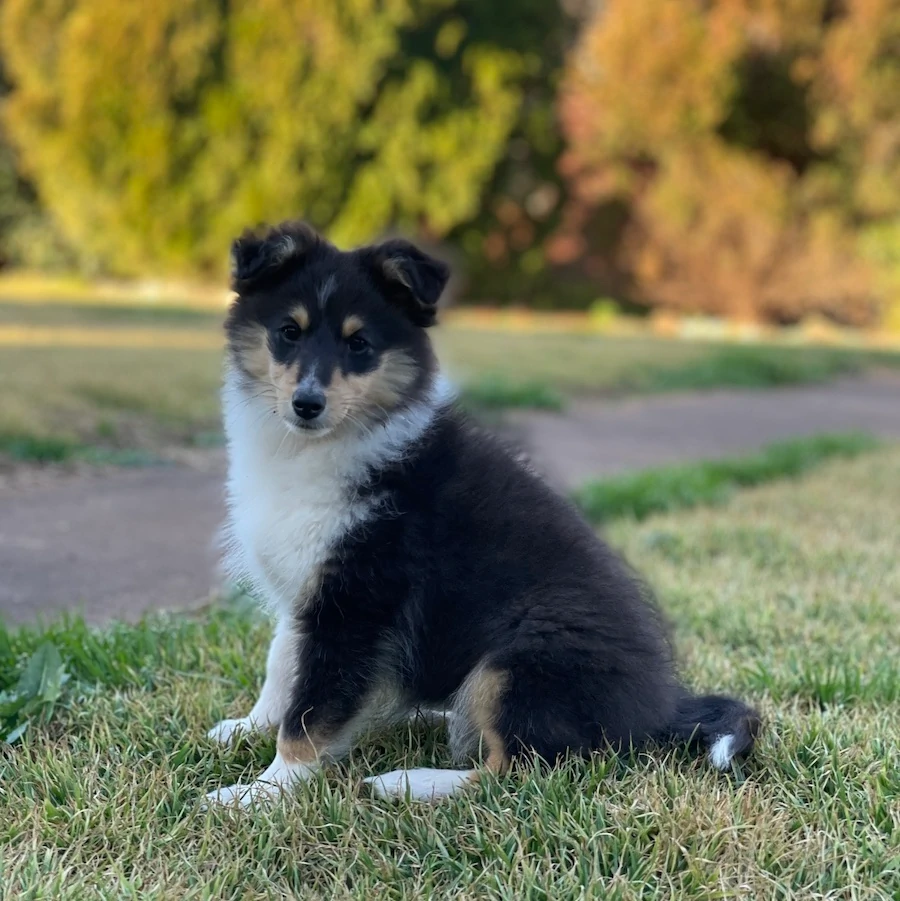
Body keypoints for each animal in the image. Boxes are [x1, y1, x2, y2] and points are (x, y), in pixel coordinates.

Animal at [204, 221, 760, 804]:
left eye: (359, 344)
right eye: (289, 331)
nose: (306, 405)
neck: (319, 448)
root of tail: (660, 713)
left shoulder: (358, 599)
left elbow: (312, 711)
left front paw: (258, 793)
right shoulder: (307, 586)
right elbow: (283, 666)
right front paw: (247, 728)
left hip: (519, 659)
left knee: (517, 767)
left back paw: (407, 780)